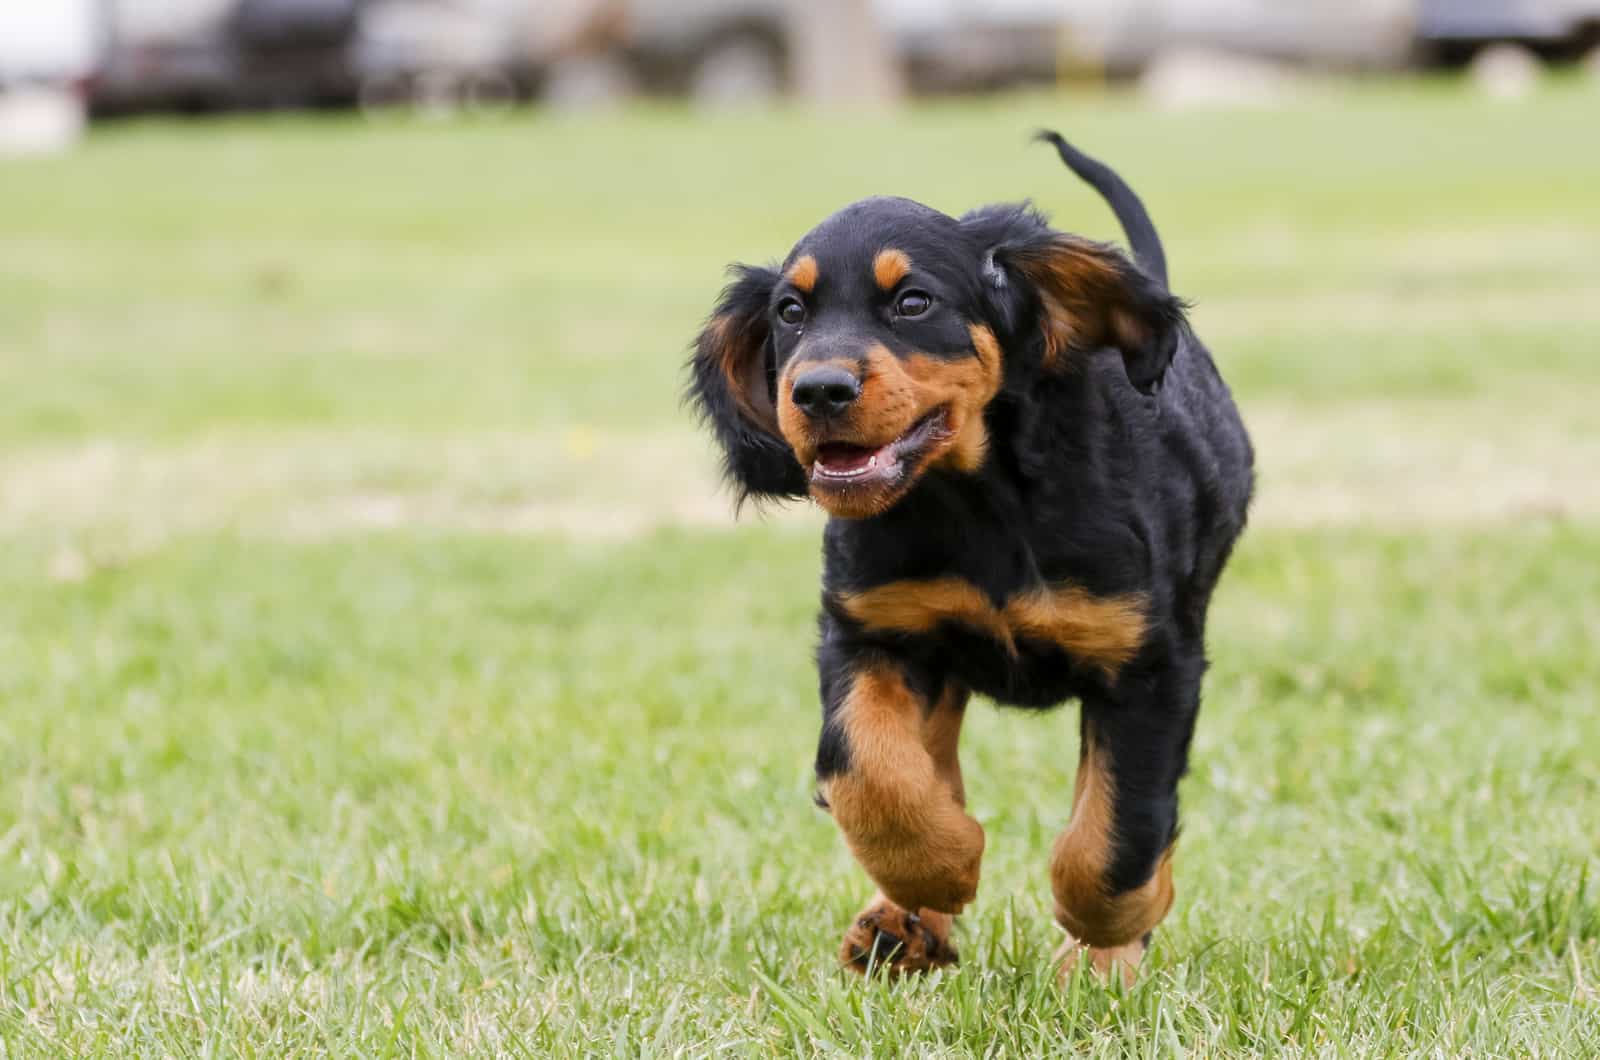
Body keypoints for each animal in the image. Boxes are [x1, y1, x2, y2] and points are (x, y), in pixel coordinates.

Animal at [688, 135, 1248, 986]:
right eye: (790, 312)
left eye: (913, 302)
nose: (816, 391)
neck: (977, 500)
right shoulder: (870, 631)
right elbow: (866, 770)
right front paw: (938, 868)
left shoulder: (1150, 662)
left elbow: (1117, 833)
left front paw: (1111, 937)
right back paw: (900, 921)